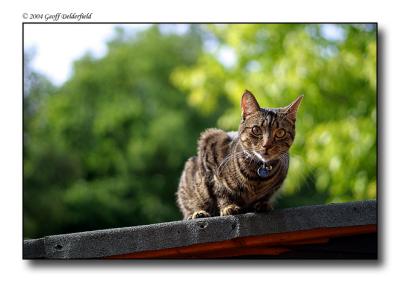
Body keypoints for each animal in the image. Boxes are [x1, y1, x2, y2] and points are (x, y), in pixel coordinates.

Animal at [177, 91, 302, 219]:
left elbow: (267, 195)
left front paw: (263, 204)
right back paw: (198, 213)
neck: (257, 177)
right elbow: (221, 191)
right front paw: (228, 206)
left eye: (280, 133)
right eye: (256, 130)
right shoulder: (210, 144)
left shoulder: (277, 184)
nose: (266, 145)